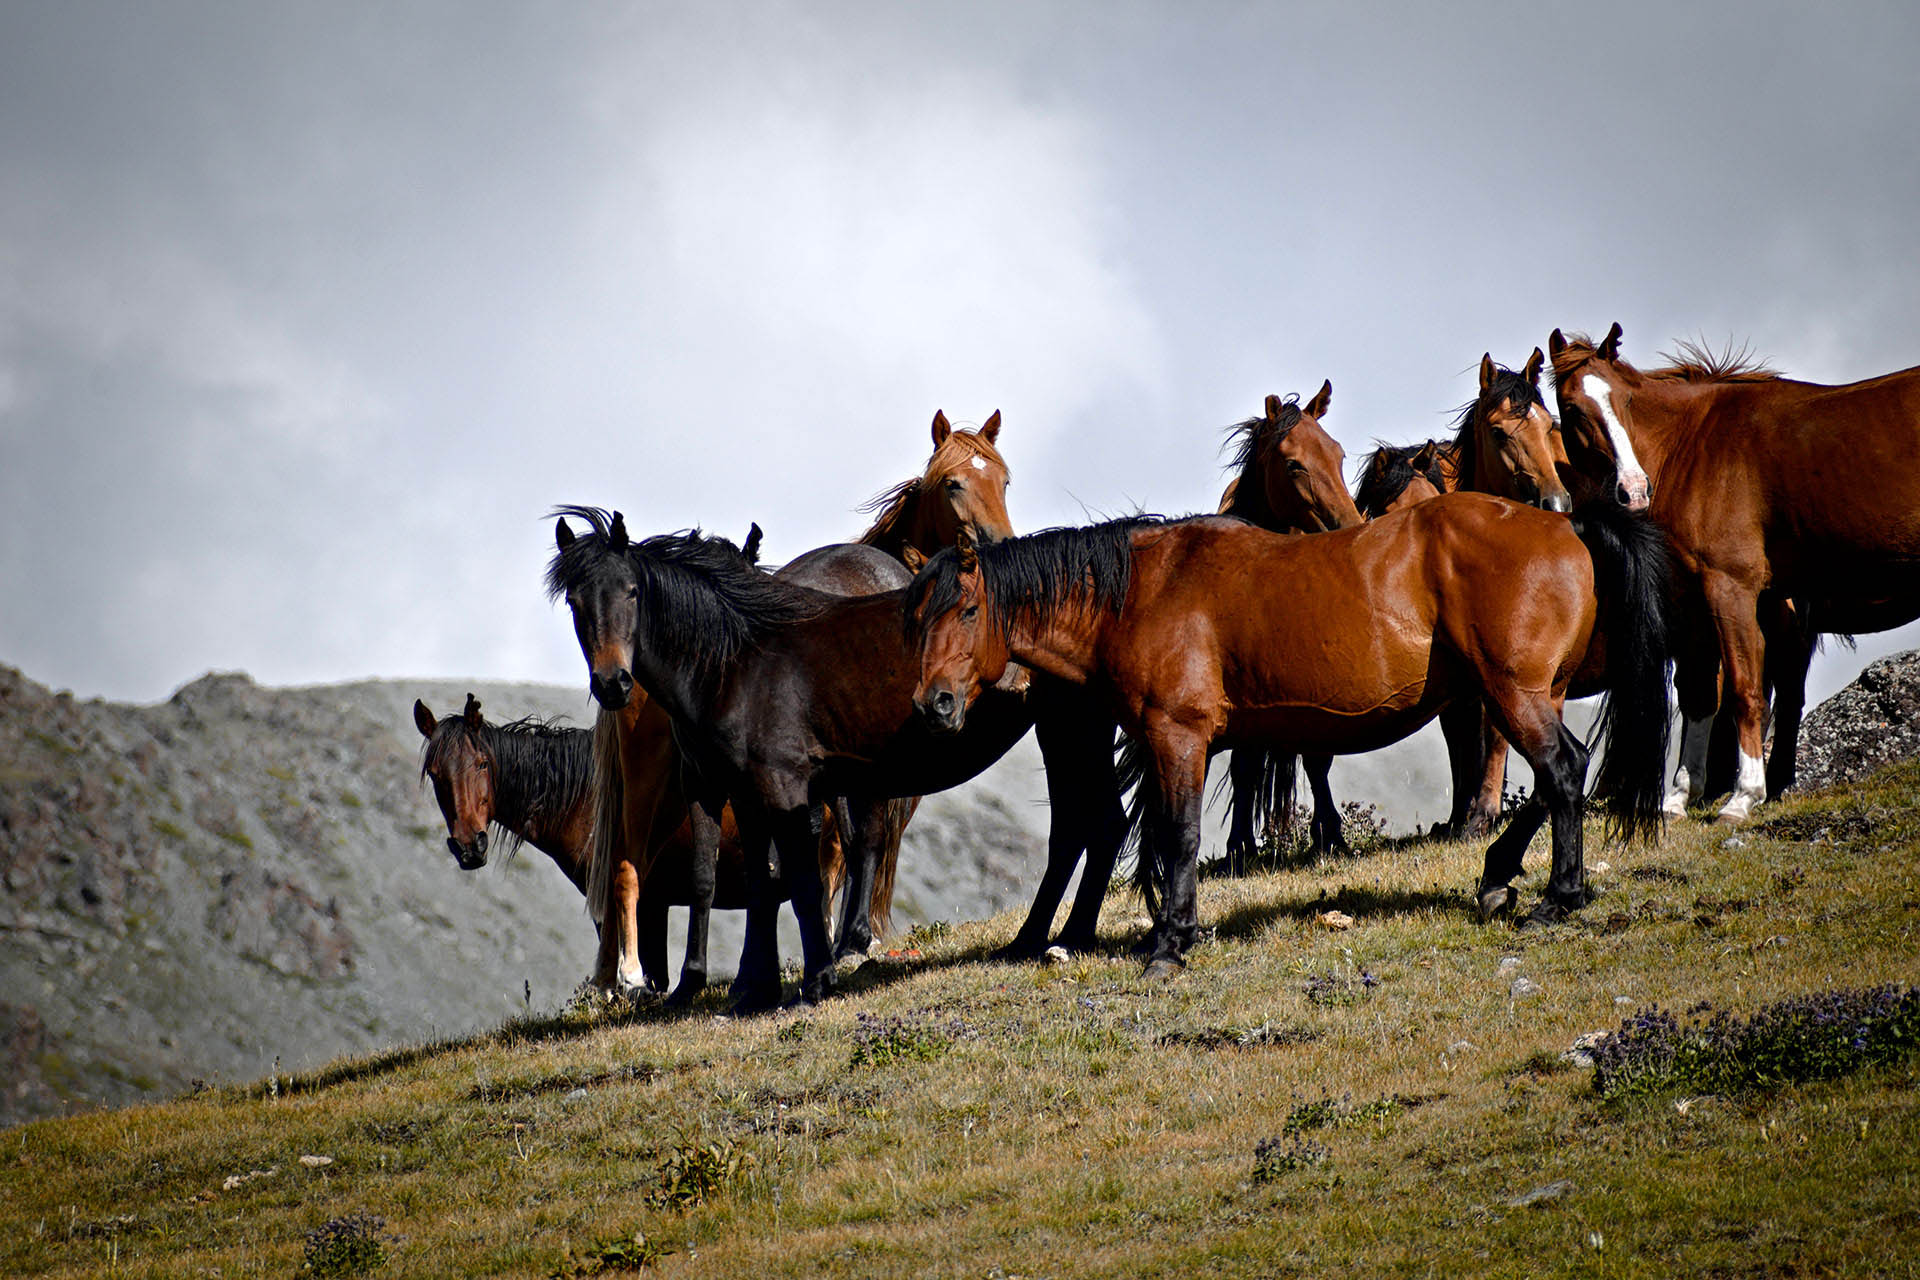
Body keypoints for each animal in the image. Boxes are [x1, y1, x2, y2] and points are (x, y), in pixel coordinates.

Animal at [414, 693, 892, 1002]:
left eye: (482, 764)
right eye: (435, 774)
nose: (469, 847)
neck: (586, 796)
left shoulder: (643, 899)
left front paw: (629, 983)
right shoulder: (653, 902)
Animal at [548, 507, 1127, 1009]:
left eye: (631, 591)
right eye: (575, 601)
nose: (614, 683)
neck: (736, 662)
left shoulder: (783, 789)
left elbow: (801, 881)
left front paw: (813, 982)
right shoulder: (730, 790)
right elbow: (738, 881)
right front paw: (744, 990)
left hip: (1072, 731)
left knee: (1088, 826)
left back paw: (1059, 940)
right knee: (1088, 828)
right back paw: (1042, 940)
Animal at [906, 492, 1672, 974]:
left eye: (967, 609)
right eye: (917, 617)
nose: (933, 703)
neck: (1144, 590)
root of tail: (1567, 527)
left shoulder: (1178, 737)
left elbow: (1178, 835)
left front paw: (1169, 945)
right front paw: (1171, 931)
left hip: (1515, 693)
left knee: (1563, 771)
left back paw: (1558, 897)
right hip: (1533, 693)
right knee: (1555, 777)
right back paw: (1498, 875)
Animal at [1548, 323, 1920, 820]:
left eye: (1625, 401)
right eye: (1572, 409)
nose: (1634, 489)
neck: (1692, 445)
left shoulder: (1732, 588)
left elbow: (1745, 691)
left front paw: (1744, 795)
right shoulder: (1698, 601)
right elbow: (1701, 696)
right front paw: (1681, 796)